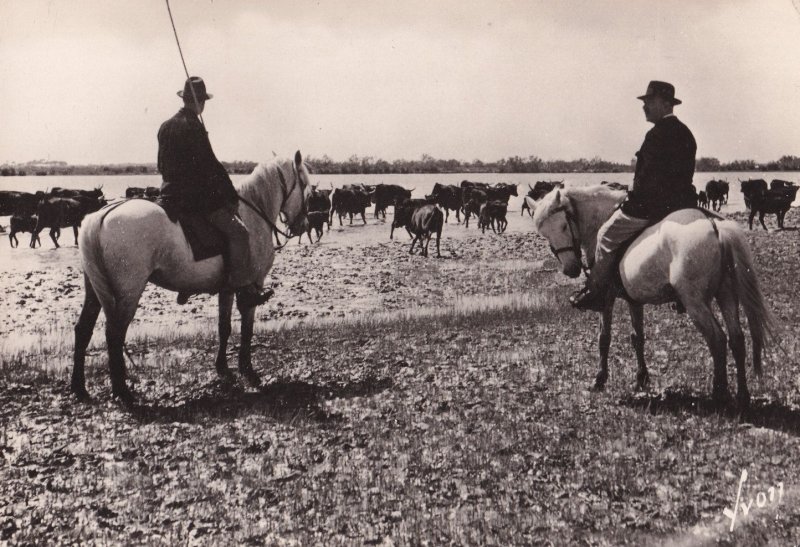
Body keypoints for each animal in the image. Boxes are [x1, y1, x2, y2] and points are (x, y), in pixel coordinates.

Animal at [72, 152, 310, 404]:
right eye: (305, 185)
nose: (303, 225)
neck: (254, 214)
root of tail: (100, 216)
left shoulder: (227, 289)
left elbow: (224, 327)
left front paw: (223, 368)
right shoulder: (254, 284)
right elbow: (247, 328)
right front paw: (248, 370)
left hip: (95, 290)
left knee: (83, 329)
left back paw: (80, 387)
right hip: (128, 292)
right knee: (114, 334)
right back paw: (122, 391)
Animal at [532, 186, 776, 408]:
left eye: (564, 226)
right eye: (545, 234)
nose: (571, 270)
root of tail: (714, 225)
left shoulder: (606, 298)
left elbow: (604, 338)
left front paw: (600, 379)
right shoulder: (634, 300)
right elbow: (637, 337)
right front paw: (641, 378)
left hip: (696, 303)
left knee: (717, 339)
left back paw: (719, 394)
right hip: (726, 294)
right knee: (737, 338)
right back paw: (742, 396)